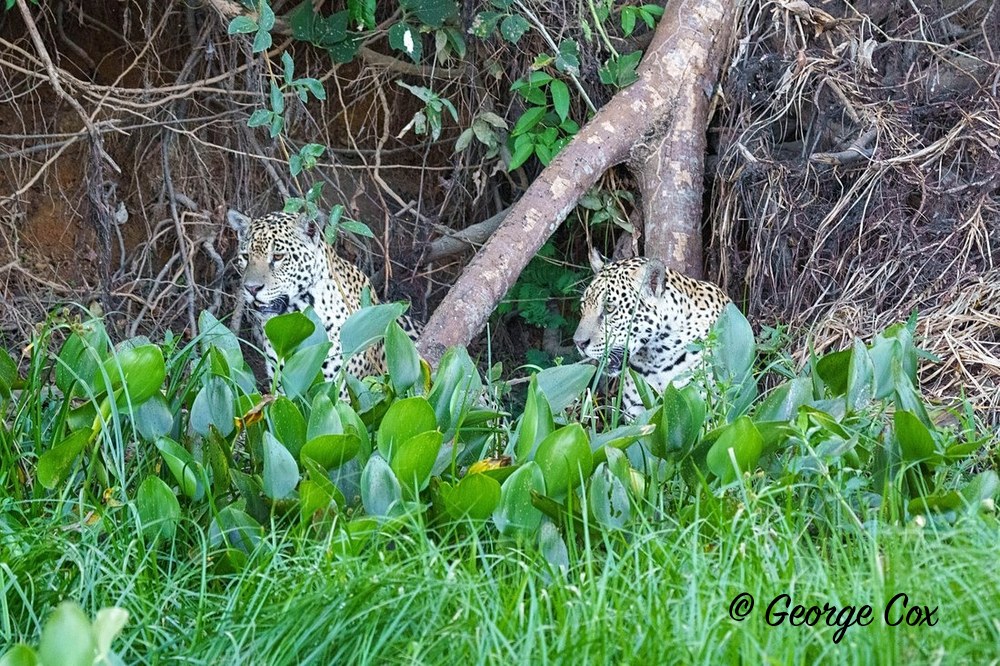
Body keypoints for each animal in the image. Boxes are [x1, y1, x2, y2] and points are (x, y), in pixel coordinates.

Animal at [226, 209, 419, 389]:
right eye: (245, 257)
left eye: (278, 256)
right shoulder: (282, 383)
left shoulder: (339, 388)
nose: (251, 288)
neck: (297, 317)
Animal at [572, 250, 731, 420]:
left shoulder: (698, 403)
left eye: (609, 308)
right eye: (583, 305)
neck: (654, 358)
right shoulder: (638, 412)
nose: (579, 343)